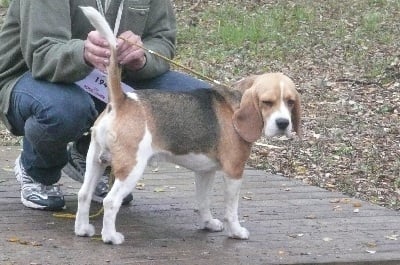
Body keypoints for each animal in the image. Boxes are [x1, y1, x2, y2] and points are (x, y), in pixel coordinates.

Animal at [74, 6, 300, 244]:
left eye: (290, 101)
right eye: (267, 102)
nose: (283, 123)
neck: (235, 105)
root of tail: (122, 100)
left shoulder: (205, 171)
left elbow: (202, 202)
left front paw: (208, 223)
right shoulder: (234, 171)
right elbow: (231, 210)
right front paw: (236, 231)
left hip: (96, 159)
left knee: (84, 194)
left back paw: (83, 229)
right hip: (131, 168)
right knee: (110, 201)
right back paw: (110, 236)